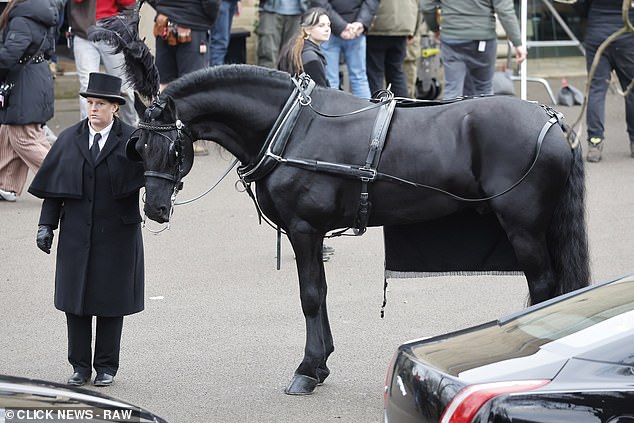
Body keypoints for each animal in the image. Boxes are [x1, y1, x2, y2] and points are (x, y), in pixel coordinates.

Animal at [127, 64, 588, 396]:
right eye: (138, 146)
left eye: (173, 148)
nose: (155, 209)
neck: (293, 127)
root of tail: (551, 119)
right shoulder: (311, 233)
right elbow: (322, 293)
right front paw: (321, 363)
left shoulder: (304, 229)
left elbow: (310, 296)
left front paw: (307, 369)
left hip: (524, 228)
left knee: (545, 285)